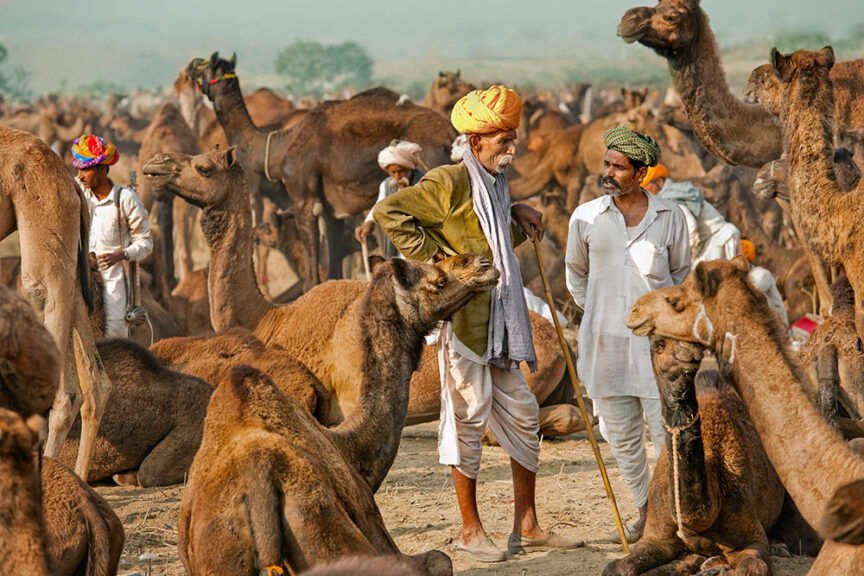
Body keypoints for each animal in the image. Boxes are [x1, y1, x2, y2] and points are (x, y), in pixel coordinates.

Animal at [178, 254, 498, 576]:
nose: (485, 265)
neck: (346, 445)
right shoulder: (371, 517)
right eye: (438, 280)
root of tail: (260, 491)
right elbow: (440, 559)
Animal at [188, 53, 455, 288]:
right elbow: (333, 269)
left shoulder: (304, 201)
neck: (279, 146)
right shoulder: (331, 209)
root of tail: (451, 138)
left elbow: (312, 274)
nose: (191, 69)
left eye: (204, 68)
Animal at [604, 338, 785, 575]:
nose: (688, 352)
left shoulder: (751, 537)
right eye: (657, 344)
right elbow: (615, 566)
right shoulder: (656, 537)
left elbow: (754, 567)